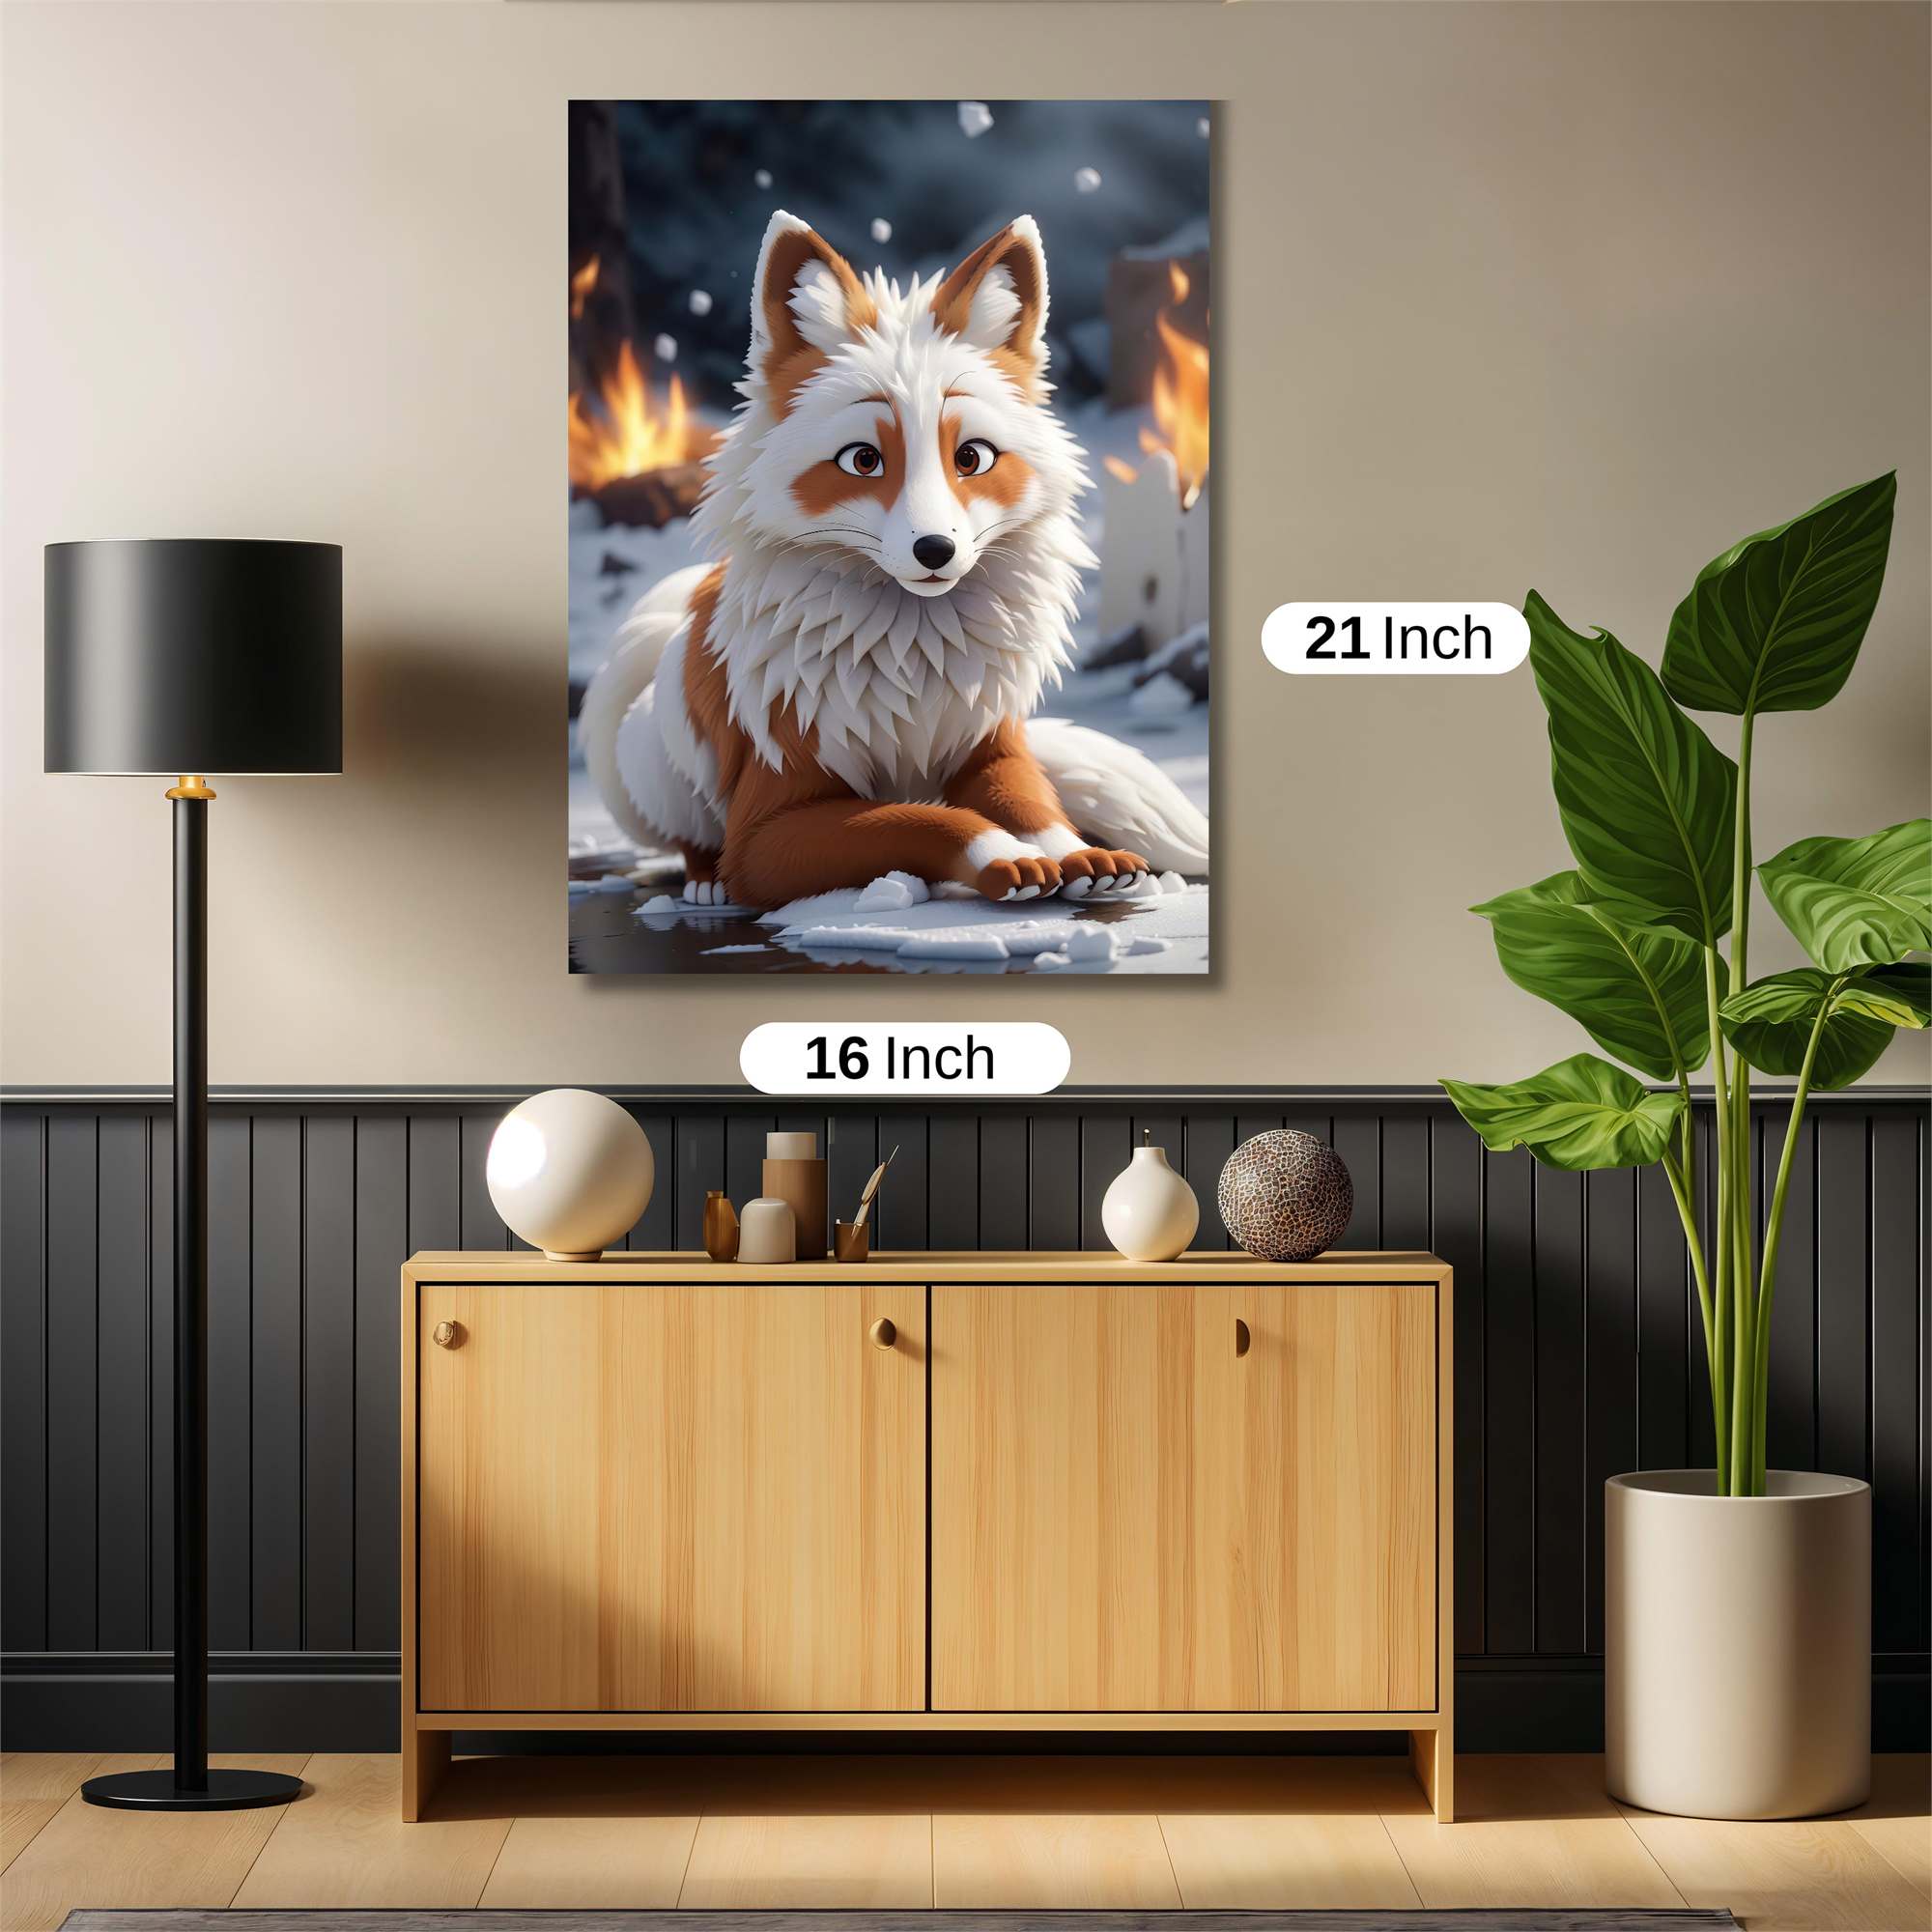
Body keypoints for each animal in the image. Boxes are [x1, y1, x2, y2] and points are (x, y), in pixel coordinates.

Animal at [578, 208, 1211, 912]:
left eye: (973, 458)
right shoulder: (769, 823)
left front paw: (1077, 855)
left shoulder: (988, 745)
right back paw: (704, 882)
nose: (935, 550)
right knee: (689, 835)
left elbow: (1032, 807)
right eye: (863, 460)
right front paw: (1008, 860)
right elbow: (924, 820)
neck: (913, 664)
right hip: (649, 758)